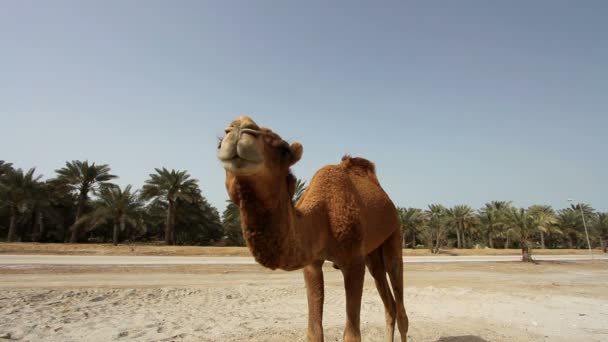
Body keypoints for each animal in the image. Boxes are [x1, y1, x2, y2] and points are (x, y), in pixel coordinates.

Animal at [218, 116, 408, 340]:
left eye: (284, 149)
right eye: (219, 142)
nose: (241, 127)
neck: (323, 216)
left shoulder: (354, 261)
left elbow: (352, 334)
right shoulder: (312, 264)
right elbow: (314, 331)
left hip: (393, 236)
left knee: (400, 305)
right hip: (372, 254)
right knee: (389, 304)